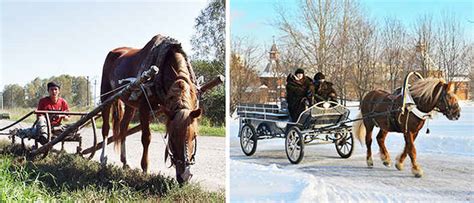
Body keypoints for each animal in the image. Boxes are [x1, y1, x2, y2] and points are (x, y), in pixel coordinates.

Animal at [101, 34, 201, 183]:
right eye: (172, 137)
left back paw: (125, 162)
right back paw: (103, 158)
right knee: (106, 129)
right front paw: (145, 168)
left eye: (194, 136)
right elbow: (146, 137)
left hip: (130, 103)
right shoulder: (144, 107)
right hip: (106, 95)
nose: (185, 176)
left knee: (123, 127)